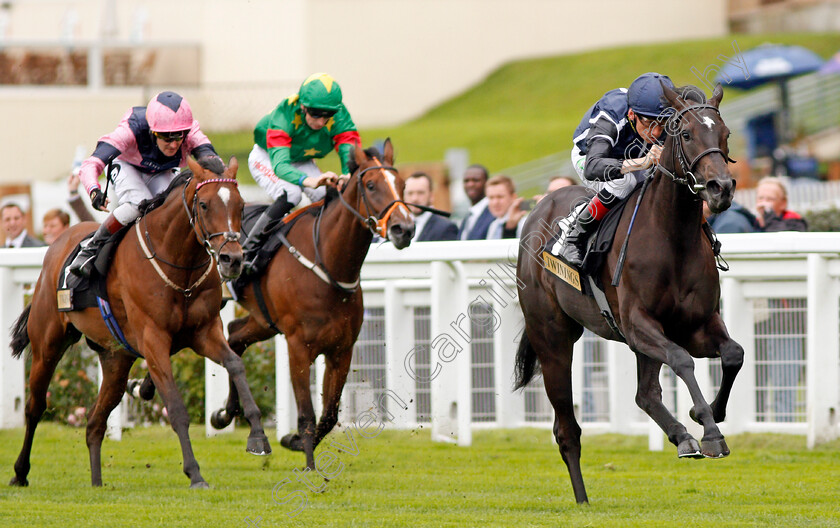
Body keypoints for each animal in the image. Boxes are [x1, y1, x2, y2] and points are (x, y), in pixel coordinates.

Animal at [9, 157, 272, 490]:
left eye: (240, 204)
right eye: (204, 205)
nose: (232, 259)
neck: (179, 263)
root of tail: (56, 246)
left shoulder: (204, 332)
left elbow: (236, 364)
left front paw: (258, 436)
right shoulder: (153, 339)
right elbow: (175, 407)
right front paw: (195, 473)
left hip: (116, 360)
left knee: (95, 421)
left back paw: (97, 482)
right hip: (48, 344)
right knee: (35, 407)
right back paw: (20, 472)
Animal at [516, 83, 744, 504]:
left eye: (725, 134)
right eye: (687, 134)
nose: (721, 188)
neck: (673, 237)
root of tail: (537, 212)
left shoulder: (698, 324)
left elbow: (733, 354)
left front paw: (708, 416)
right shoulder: (639, 324)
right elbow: (682, 360)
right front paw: (710, 432)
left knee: (645, 394)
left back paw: (681, 437)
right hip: (552, 337)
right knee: (566, 428)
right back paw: (582, 499)